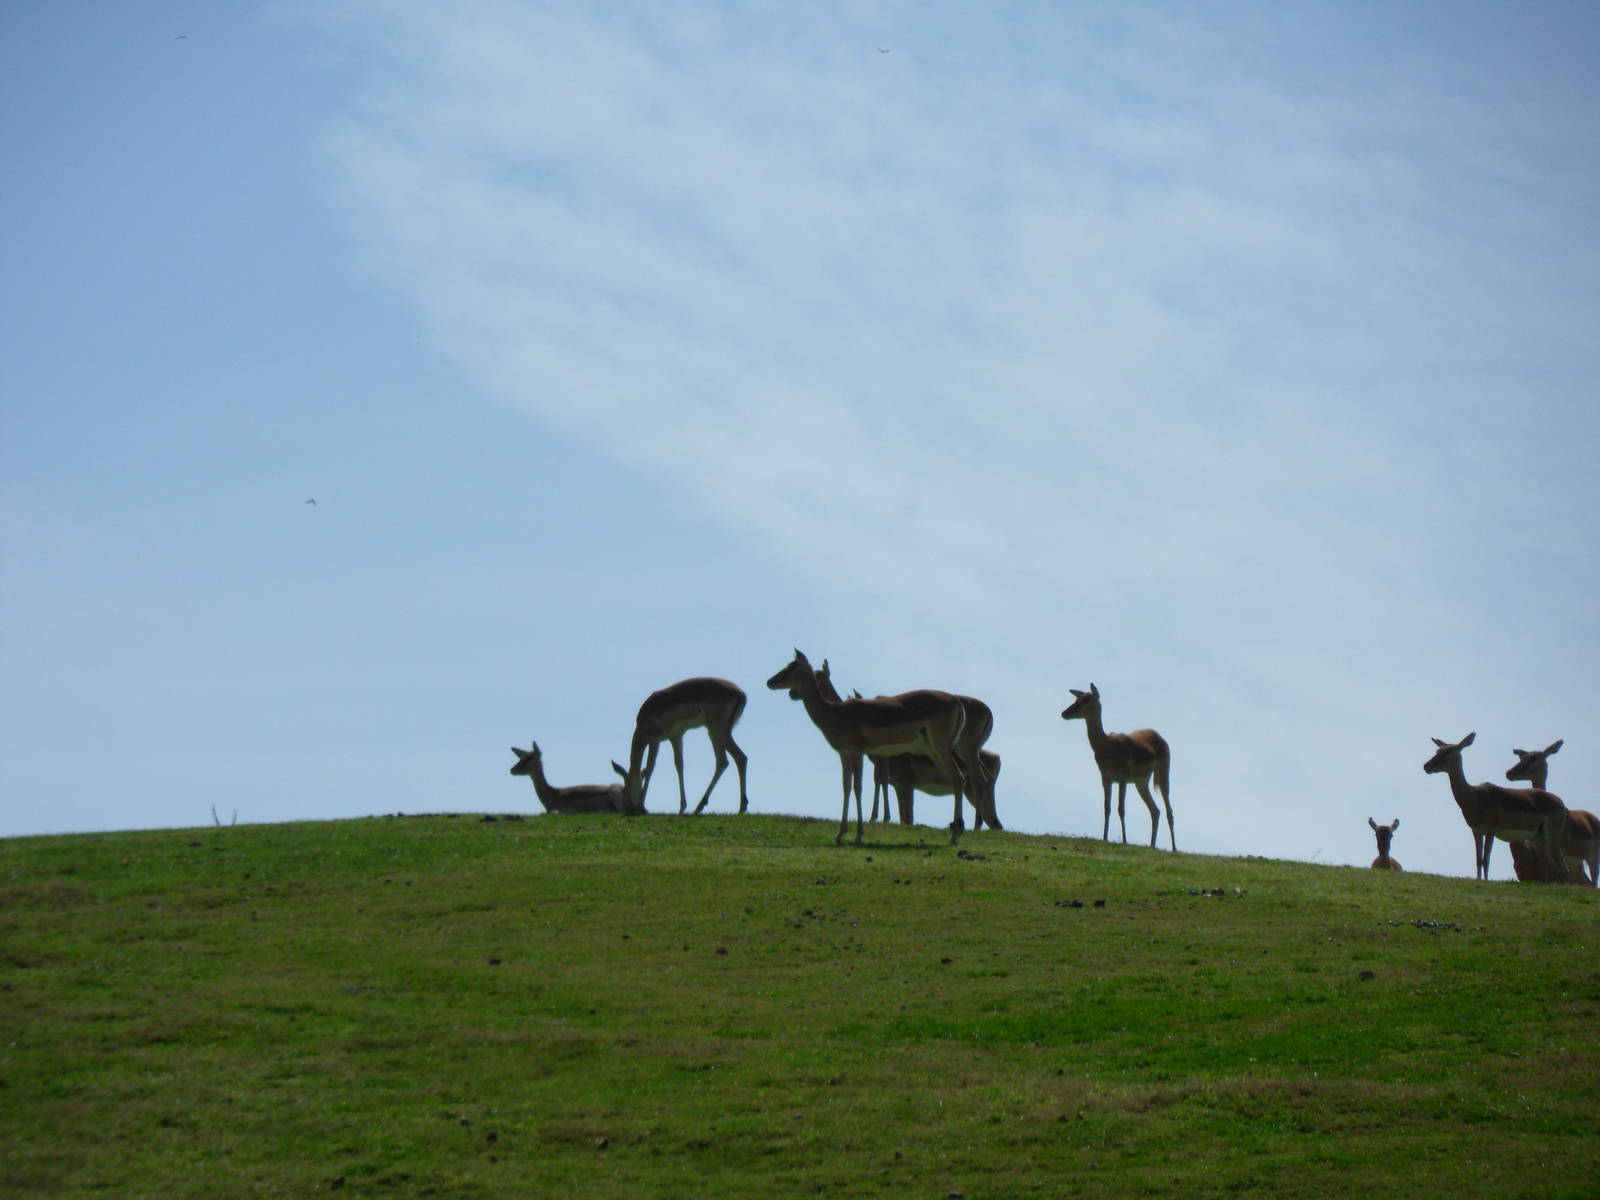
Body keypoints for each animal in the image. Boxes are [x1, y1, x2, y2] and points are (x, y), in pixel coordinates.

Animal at [620, 677, 750, 815]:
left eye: (625, 790)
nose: (628, 809)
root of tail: (741, 693)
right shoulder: (676, 737)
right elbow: (679, 765)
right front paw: (682, 807)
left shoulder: (654, 740)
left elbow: (650, 767)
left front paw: (642, 805)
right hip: (713, 733)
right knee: (723, 762)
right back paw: (698, 808)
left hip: (718, 731)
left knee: (740, 758)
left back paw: (741, 807)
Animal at [766, 648, 973, 845]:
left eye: (793, 665)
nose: (770, 682)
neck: (836, 714)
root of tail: (957, 701)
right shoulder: (844, 754)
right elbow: (846, 787)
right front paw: (840, 834)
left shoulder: (858, 753)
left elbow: (858, 788)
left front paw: (858, 835)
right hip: (934, 751)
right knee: (957, 780)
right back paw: (956, 833)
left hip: (941, 749)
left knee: (958, 779)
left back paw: (954, 836)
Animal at [1060, 683, 1175, 851]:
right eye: (1076, 699)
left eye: (1086, 699)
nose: (1064, 713)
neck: (1107, 747)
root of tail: (1159, 736)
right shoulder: (1106, 778)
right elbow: (1107, 807)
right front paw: (1104, 838)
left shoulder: (1122, 778)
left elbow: (1121, 809)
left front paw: (1125, 840)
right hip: (1141, 783)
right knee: (1155, 810)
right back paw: (1152, 845)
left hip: (1163, 775)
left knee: (1169, 810)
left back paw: (1174, 848)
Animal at [1422, 733, 1568, 882]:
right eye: (1437, 751)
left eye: (1449, 751)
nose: (1426, 766)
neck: (1474, 796)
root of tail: (1560, 801)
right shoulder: (1476, 831)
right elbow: (1478, 860)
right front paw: (1479, 880)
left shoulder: (1490, 831)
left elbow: (1486, 860)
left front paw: (1485, 881)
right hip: (1538, 840)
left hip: (1552, 838)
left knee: (1564, 870)